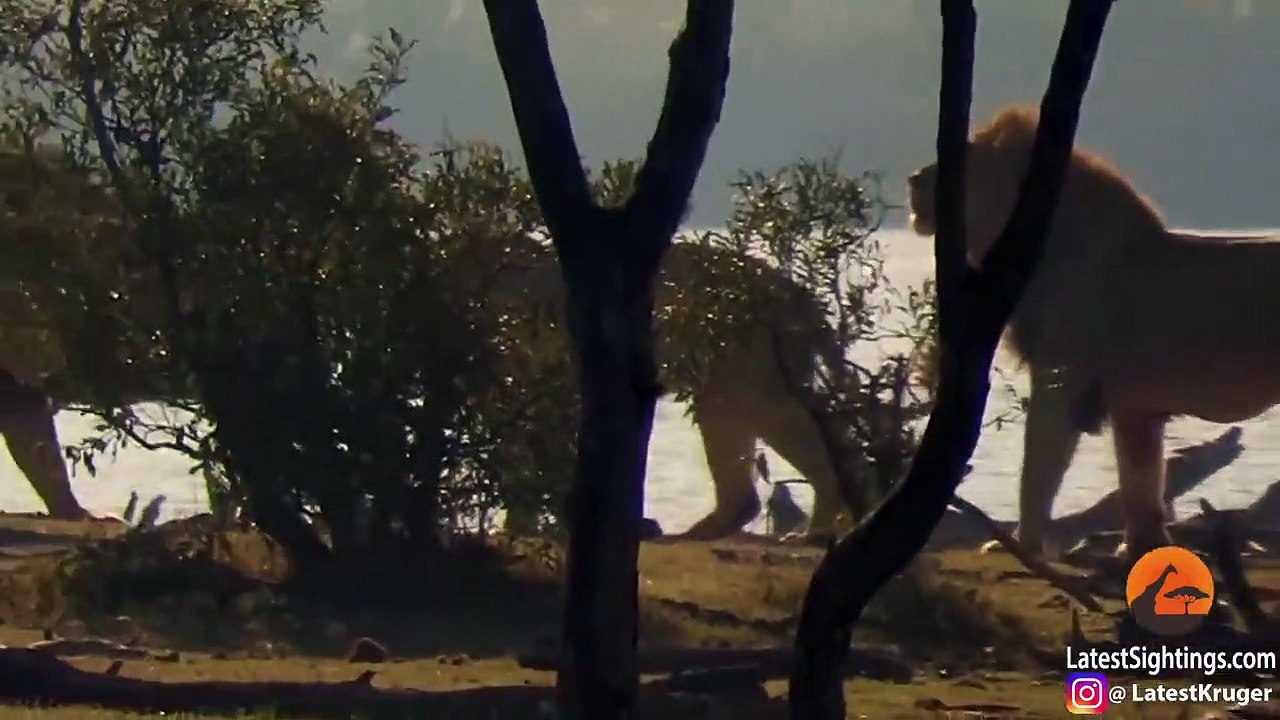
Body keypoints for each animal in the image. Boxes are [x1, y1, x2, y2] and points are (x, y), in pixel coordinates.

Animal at [906, 103, 1280, 559]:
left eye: (965, 155)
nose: (913, 178)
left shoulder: (1060, 382)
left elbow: (1037, 472)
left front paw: (1020, 546)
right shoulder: (1135, 408)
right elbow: (1139, 481)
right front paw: (1140, 550)